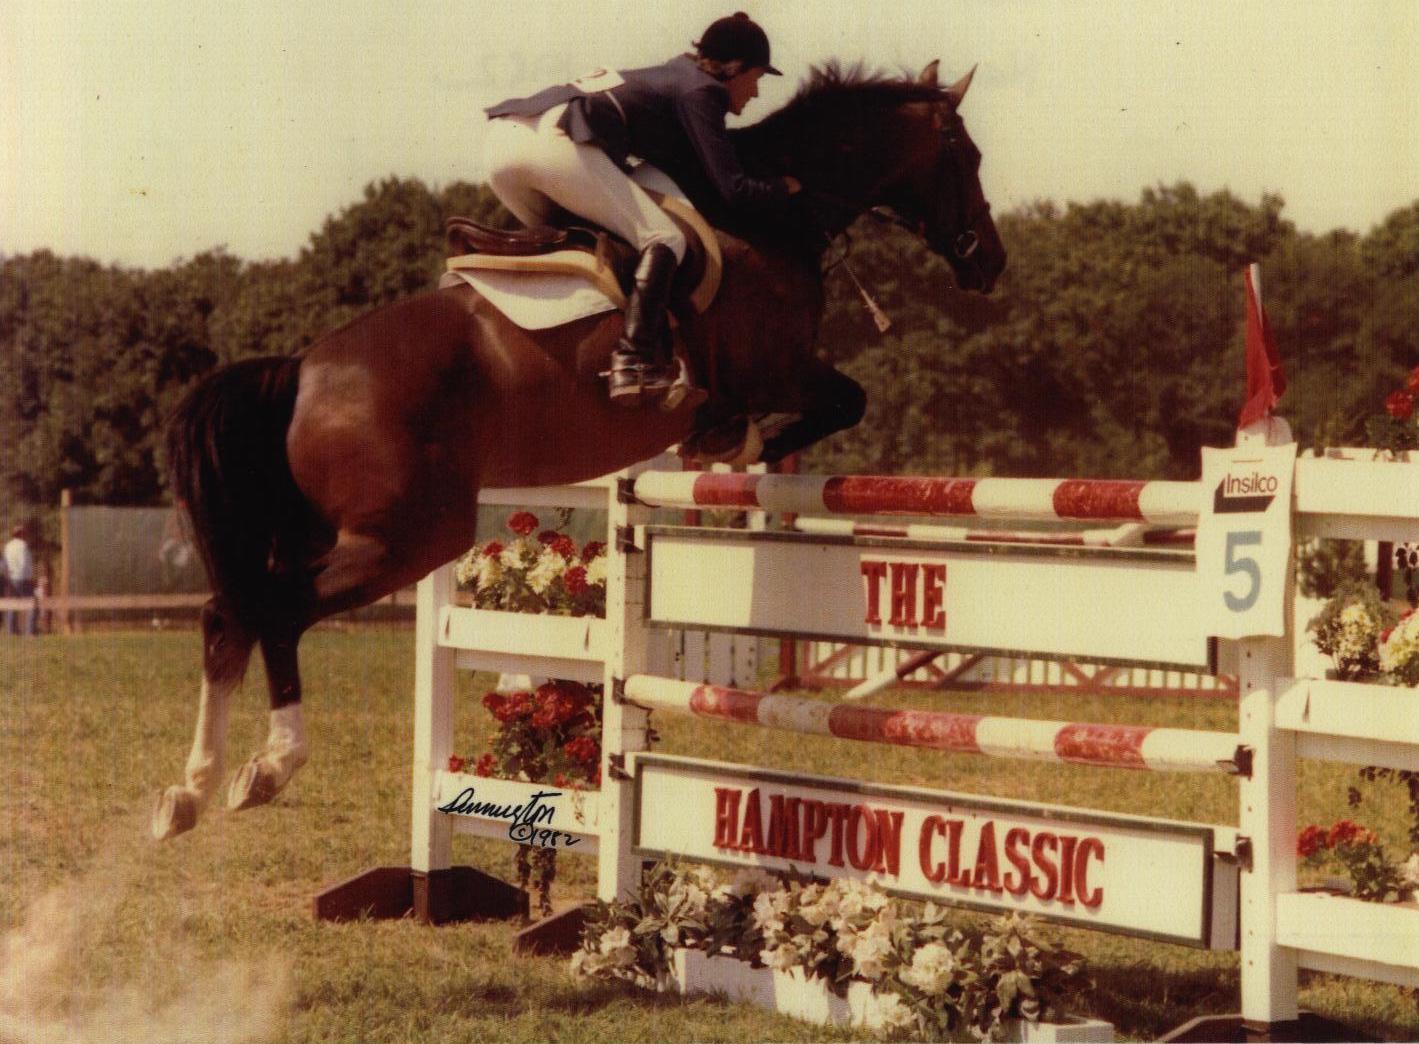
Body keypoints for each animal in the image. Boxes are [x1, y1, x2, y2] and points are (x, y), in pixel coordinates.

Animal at [152, 59, 1010, 839]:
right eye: (965, 156)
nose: (989, 261)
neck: (774, 216)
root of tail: (302, 369)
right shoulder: (781, 367)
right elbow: (837, 401)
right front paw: (732, 437)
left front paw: (728, 442)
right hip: (405, 537)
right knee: (275, 610)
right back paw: (266, 768)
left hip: (326, 529)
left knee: (229, 614)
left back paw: (188, 792)